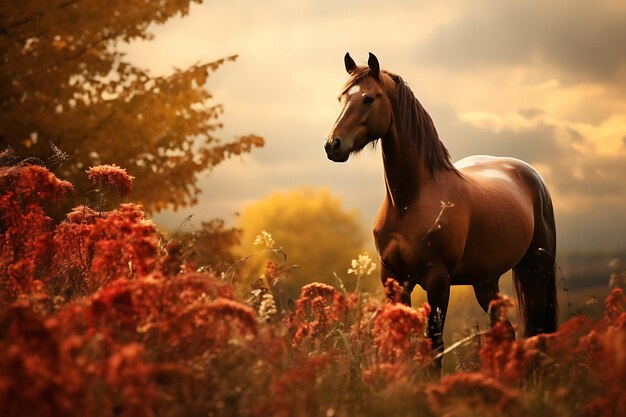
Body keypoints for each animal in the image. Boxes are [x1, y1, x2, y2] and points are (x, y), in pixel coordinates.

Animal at [322, 52, 556, 368]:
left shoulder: (438, 281)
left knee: (538, 331)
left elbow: (435, 346)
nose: (332, 145)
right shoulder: (394, 280)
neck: (410, 202)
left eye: (369, 98)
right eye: (341, 98)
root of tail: (530, 174)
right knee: (506, 331)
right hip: (485, 281)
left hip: (535, 270)